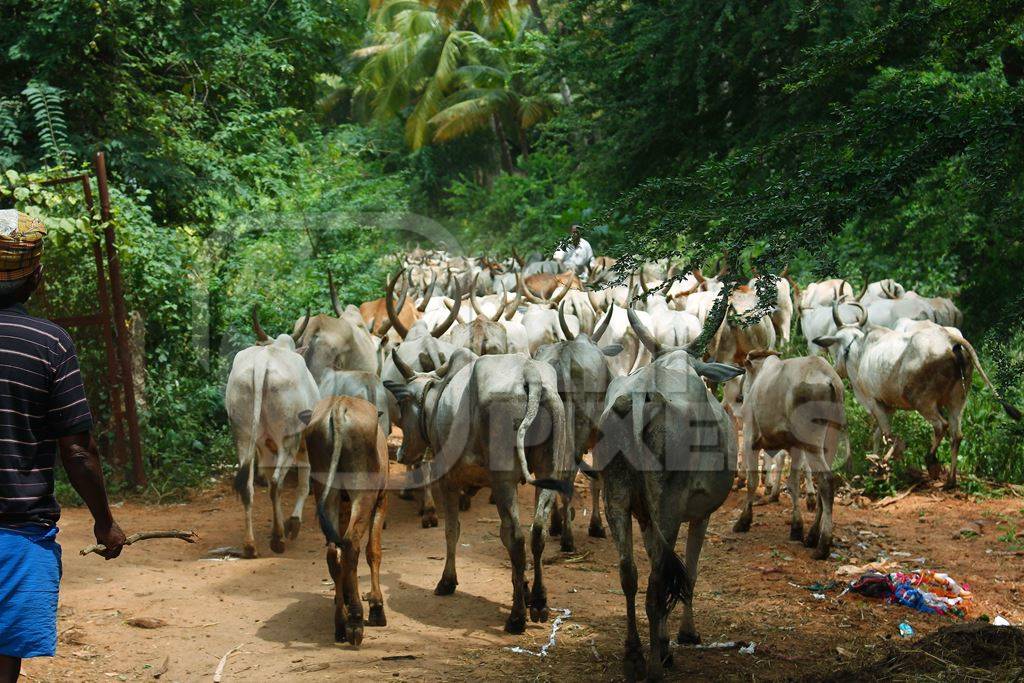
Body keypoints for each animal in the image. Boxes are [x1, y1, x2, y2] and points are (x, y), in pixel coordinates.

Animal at [301, 395, 389, 647]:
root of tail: (339, 406)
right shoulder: (381, 499)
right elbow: (373, 552)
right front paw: (376, 606)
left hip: (325, 491)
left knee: (334, 553)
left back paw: (341, 621)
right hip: (364, 492)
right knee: (351, 544)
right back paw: (356, 621)